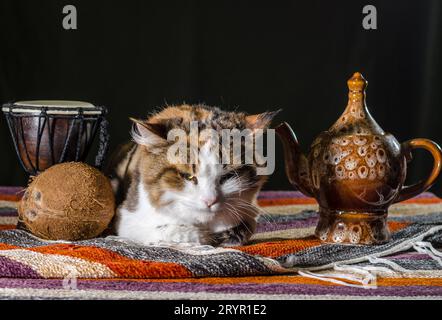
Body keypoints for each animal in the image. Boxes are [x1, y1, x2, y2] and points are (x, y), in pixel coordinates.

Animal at [106, 104, 276, 246]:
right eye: (187, 176)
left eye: (227, 177)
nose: (210, 201)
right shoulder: (127, 220)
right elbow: (176, 232)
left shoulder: (248, 214)